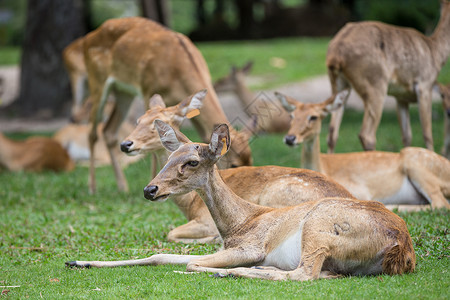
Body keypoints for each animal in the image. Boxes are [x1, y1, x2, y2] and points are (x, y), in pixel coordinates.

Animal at [65, 120, 416, 282]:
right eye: (168, 157)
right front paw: (77, 261)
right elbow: (160, 255)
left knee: (303, 273)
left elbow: (189, 261)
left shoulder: (250, 247)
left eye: (191, 161)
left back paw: (231, 273)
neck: (238, 224)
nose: (150, 189)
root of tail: (402, 249)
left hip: (320, 226)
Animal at [82, 17, 253, 193]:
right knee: (92, 132)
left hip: (123, 91)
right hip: (96, 80)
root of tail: (88, 37)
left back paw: (123, 187)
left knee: (109, 130)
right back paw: (92, 188)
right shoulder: (147, 89)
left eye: (250, 160)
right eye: (234, 164)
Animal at [119, 90, 356, 243]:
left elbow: (171, 233)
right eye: (138, 120)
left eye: (192, 162)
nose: (125, 143)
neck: (189, 204)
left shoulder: (205, 220)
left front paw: (212, 238)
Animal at [276, 92, 450, 211]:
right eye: (291, 116)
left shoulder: (359, 190)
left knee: (440, 203)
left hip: (417, 164)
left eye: (314, 117)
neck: (323, 166)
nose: (290, 138)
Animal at [326, 1, 450, 154]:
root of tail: (335, 54)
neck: (436, 53)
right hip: (375, 84)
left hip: (338, 84)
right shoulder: (425, 85)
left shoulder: (401, 97)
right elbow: (427, 134)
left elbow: (407, 136)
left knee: (332, 134)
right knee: (367, 135)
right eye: (443, 95)